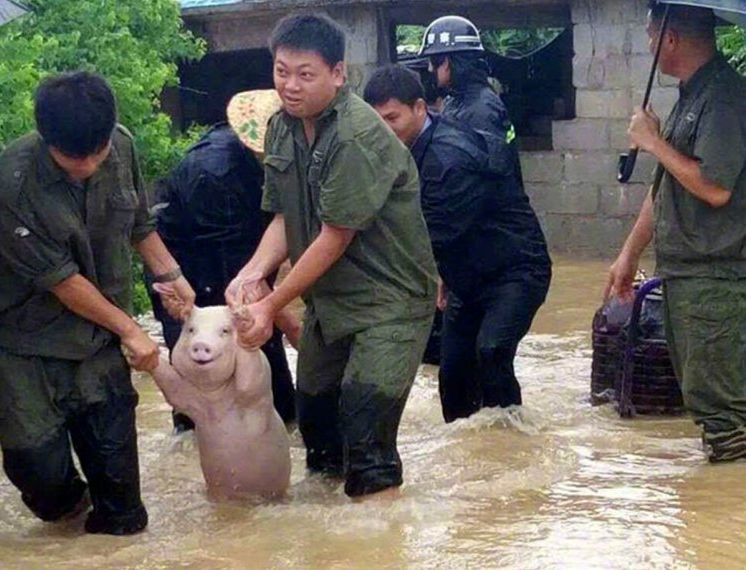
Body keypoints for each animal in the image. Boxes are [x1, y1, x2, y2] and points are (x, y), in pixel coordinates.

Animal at [149, 306, 290, 496]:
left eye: (225, 331)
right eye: (191, 330)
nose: (201, 344)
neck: (215, 398)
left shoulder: (258, 390)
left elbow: (249, 381)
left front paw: (241, 315)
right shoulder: (188, 399)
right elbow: (172, 387)